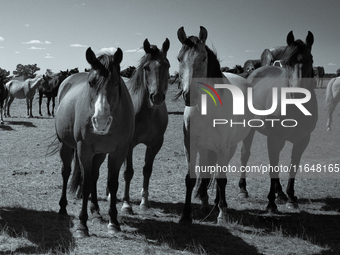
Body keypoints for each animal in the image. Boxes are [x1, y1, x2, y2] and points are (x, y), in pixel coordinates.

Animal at [55, 46, 135, 237]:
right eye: (91, 83)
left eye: (116, 83)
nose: (101, 121)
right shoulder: (84, 150)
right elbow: (85, 184)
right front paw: (82, 225)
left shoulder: (118, 151)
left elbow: (112, 184)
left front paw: (113, 222)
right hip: (65, 146)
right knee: (66, 172)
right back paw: (63, 208)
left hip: (99, 153)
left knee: (94, 175)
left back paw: (96, 211)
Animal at [178, 26, 252, 225]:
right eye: (179, 58)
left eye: (203, 58)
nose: (189, 96)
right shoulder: (190, 146)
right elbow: (191, 178)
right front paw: (185, 215)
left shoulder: (223, 148)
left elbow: (221, 180)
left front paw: (222, 213)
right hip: (206, 148)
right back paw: (205, 202)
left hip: (235, 144)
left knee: (225, 170)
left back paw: (220, 203)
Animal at [239, 30, 316, 213]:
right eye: (286, 63)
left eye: (310, 60)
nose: (297, 95)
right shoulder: (274, 138)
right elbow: (273, 165)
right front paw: (271, 204)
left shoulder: (302, 140)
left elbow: (293, 166)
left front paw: (291, 198)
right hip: (251, 129)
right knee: (245, 154)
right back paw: (243, 189)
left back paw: (280, 193)